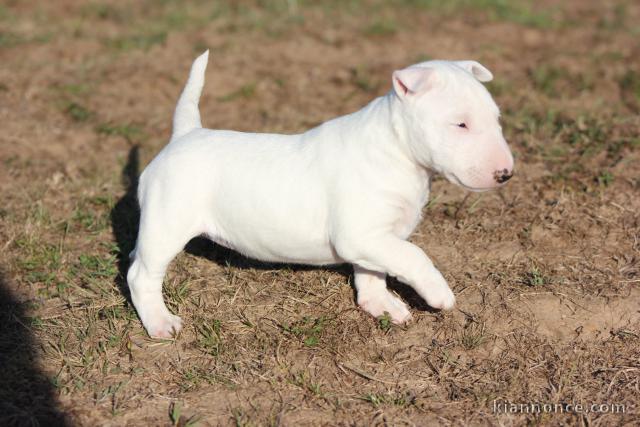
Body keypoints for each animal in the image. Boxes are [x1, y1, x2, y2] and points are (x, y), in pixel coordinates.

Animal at [127, 51, 512, 338]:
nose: (506, 173)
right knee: (140, 276)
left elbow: (374, 270)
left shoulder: (373, 239)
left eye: (497, 118)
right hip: (169, 222)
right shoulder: (359, 233)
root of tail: (185, 135)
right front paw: (439, 294)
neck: (396, 150)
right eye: (460, 124)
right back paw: (160, 323)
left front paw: (381, 305)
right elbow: (413, 255)